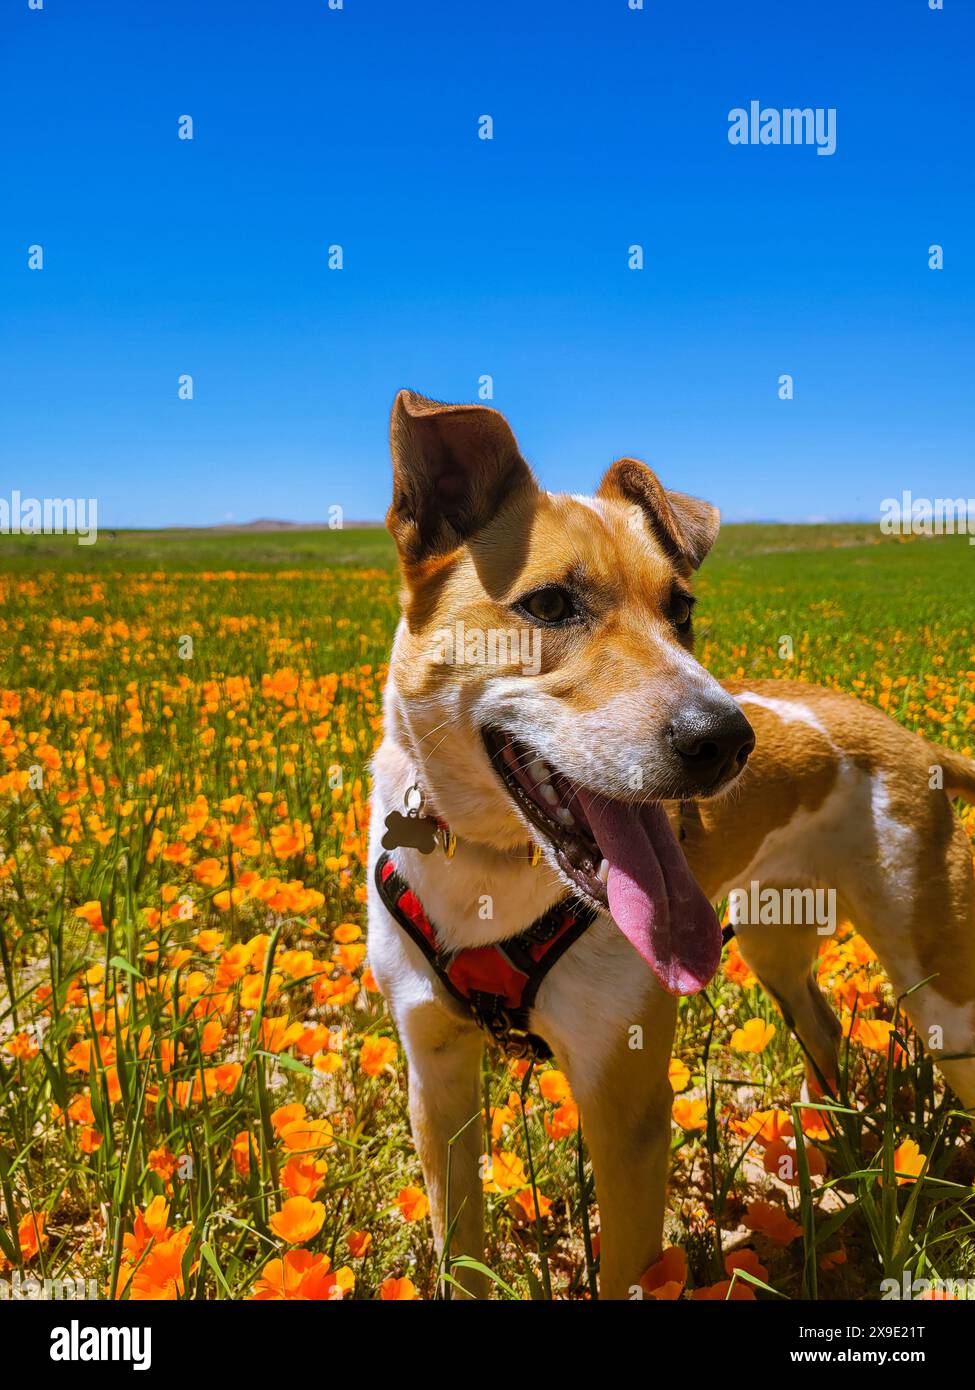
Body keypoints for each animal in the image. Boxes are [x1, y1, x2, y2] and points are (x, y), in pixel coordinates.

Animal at [367, 386, 973, 1295]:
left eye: (681, 608)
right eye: (549, 604)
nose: (726, 740)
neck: (487, 865)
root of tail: (917, 744)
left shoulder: (624, 1100)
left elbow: (624, 1268)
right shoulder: (434, 1076)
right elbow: (459, 1248)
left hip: (938, 992)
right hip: (771, 943)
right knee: (824, 1027)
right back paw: (826, 1153)